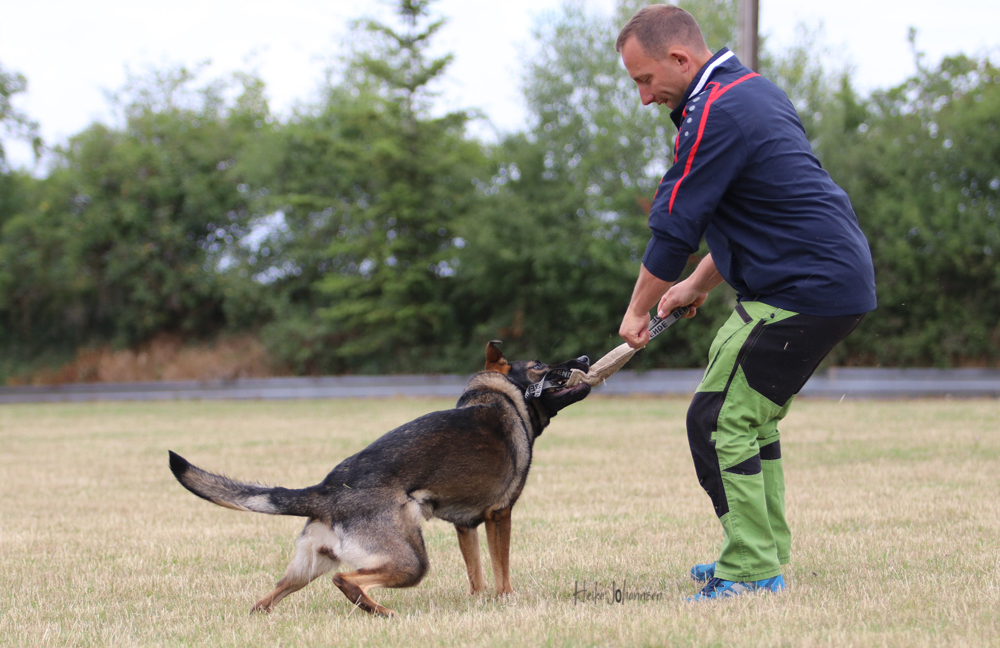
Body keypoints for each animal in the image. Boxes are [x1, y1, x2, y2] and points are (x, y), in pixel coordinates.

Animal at [168, 340, 590, 617]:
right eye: (538, 365)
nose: (585, 358)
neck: (499, 397)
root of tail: (325, 492)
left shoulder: (466, 525)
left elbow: (476, 574)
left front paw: (478, 602)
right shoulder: (499, 515)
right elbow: (501, 569)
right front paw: (506, 601)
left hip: (304, 570)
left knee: (266, 600)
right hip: (410, 561)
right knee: (347, 581)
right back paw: (383, 613)